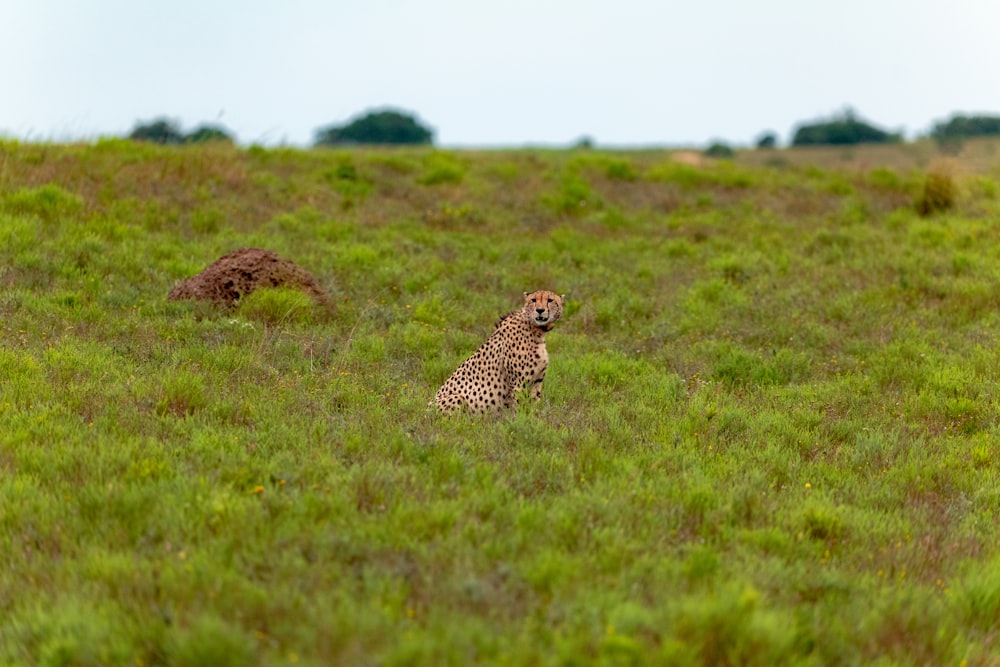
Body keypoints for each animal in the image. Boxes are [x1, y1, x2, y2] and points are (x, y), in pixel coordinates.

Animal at [434, 290, 568, 414]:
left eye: (550, 300)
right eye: (533, 300)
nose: (540, 310)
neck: (536, 330)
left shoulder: (537, 381)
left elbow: (535, 405)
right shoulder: (518, 383)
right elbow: (519, 407)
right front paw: (520, 420)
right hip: (457, 397)